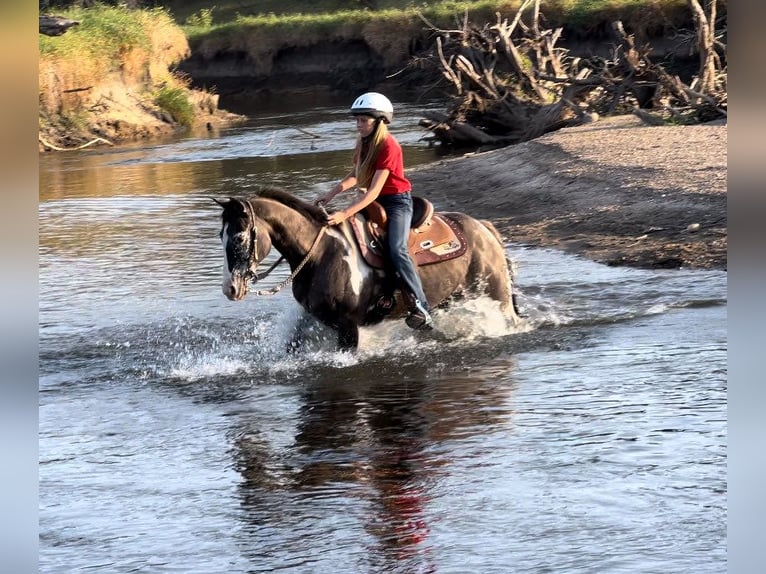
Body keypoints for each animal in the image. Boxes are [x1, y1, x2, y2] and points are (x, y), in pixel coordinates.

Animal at [216, 187, 522, 351]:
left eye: (239, 237)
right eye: (220, 235)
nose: (230, 289)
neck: (321, 253)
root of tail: (484, 228)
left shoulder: (348, 325)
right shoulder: (312, 318)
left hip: (497, 297)